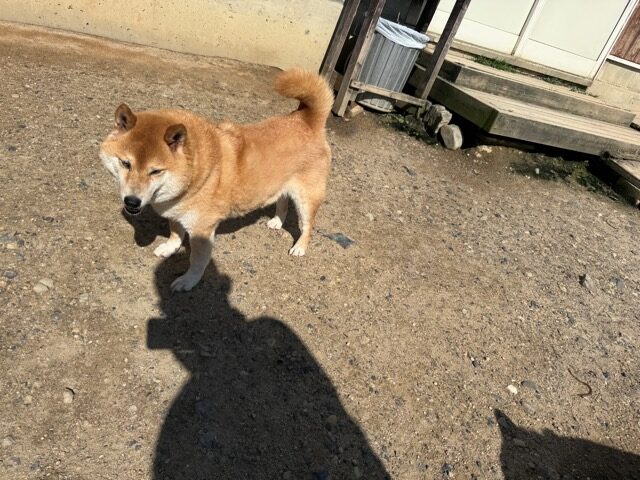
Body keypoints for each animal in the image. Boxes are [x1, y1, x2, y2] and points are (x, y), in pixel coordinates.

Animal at [100, 69, 333, 292]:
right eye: (126, 163)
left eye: (155, 171)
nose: (132, 201)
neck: (196, 174)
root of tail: (307, 120)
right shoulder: (176, 212)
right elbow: (175, 233)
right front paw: (169, 248)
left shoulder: (202, 230)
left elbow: (197, 260)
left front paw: (188, 281)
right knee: (283, 200)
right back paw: (277, 221)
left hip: (307, 200)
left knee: (308, 226)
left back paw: (300, 247)